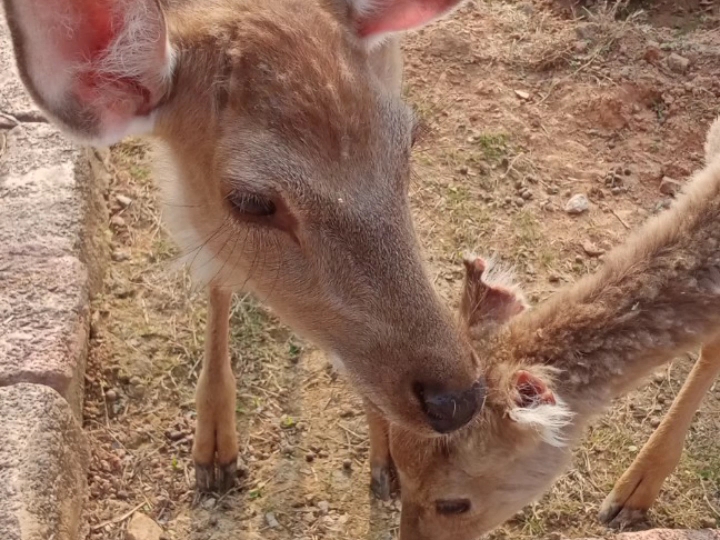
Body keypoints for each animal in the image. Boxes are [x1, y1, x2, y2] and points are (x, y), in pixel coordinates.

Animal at [2, 0, 484, 492]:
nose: (458, 400)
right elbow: (218, 280)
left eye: (409, 143)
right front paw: (214, 451)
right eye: (250, 202)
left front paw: (386, 452)